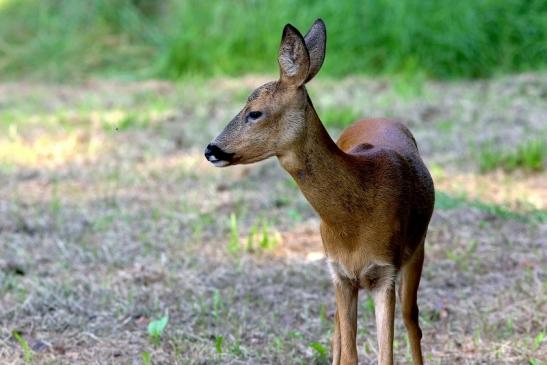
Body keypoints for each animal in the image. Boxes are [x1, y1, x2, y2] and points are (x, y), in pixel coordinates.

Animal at [203, 19, 434, 364]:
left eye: (255, 112)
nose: (211, 149)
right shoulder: (339, 272)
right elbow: (349, 353)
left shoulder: (385, 270)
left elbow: (386, 355)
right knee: (338, 330)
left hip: (417, 250)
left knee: (412, 320)